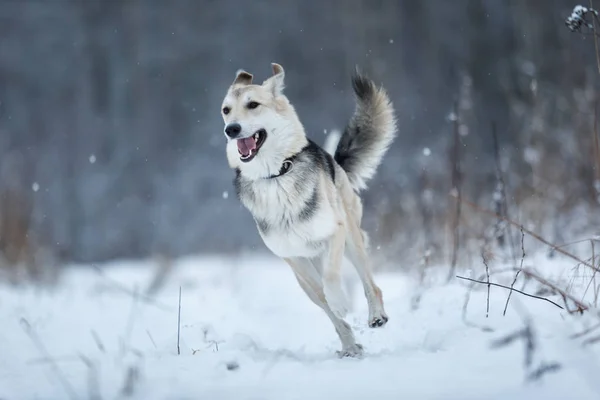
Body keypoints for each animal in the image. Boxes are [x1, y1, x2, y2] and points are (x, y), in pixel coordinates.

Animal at [220, 64, 398, 358]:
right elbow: (323, 297)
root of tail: (334, 163)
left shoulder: (334, 233)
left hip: (352, 240)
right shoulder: (294, 259)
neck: (275, 176)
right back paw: (349, 345)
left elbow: (332, 277)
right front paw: (345, 332)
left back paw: (376, 316)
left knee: (371, 284)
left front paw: (341, 301)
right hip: (306, 269)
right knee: (324, 301)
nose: (231, 129)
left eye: (253, 104)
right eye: (226, 110)